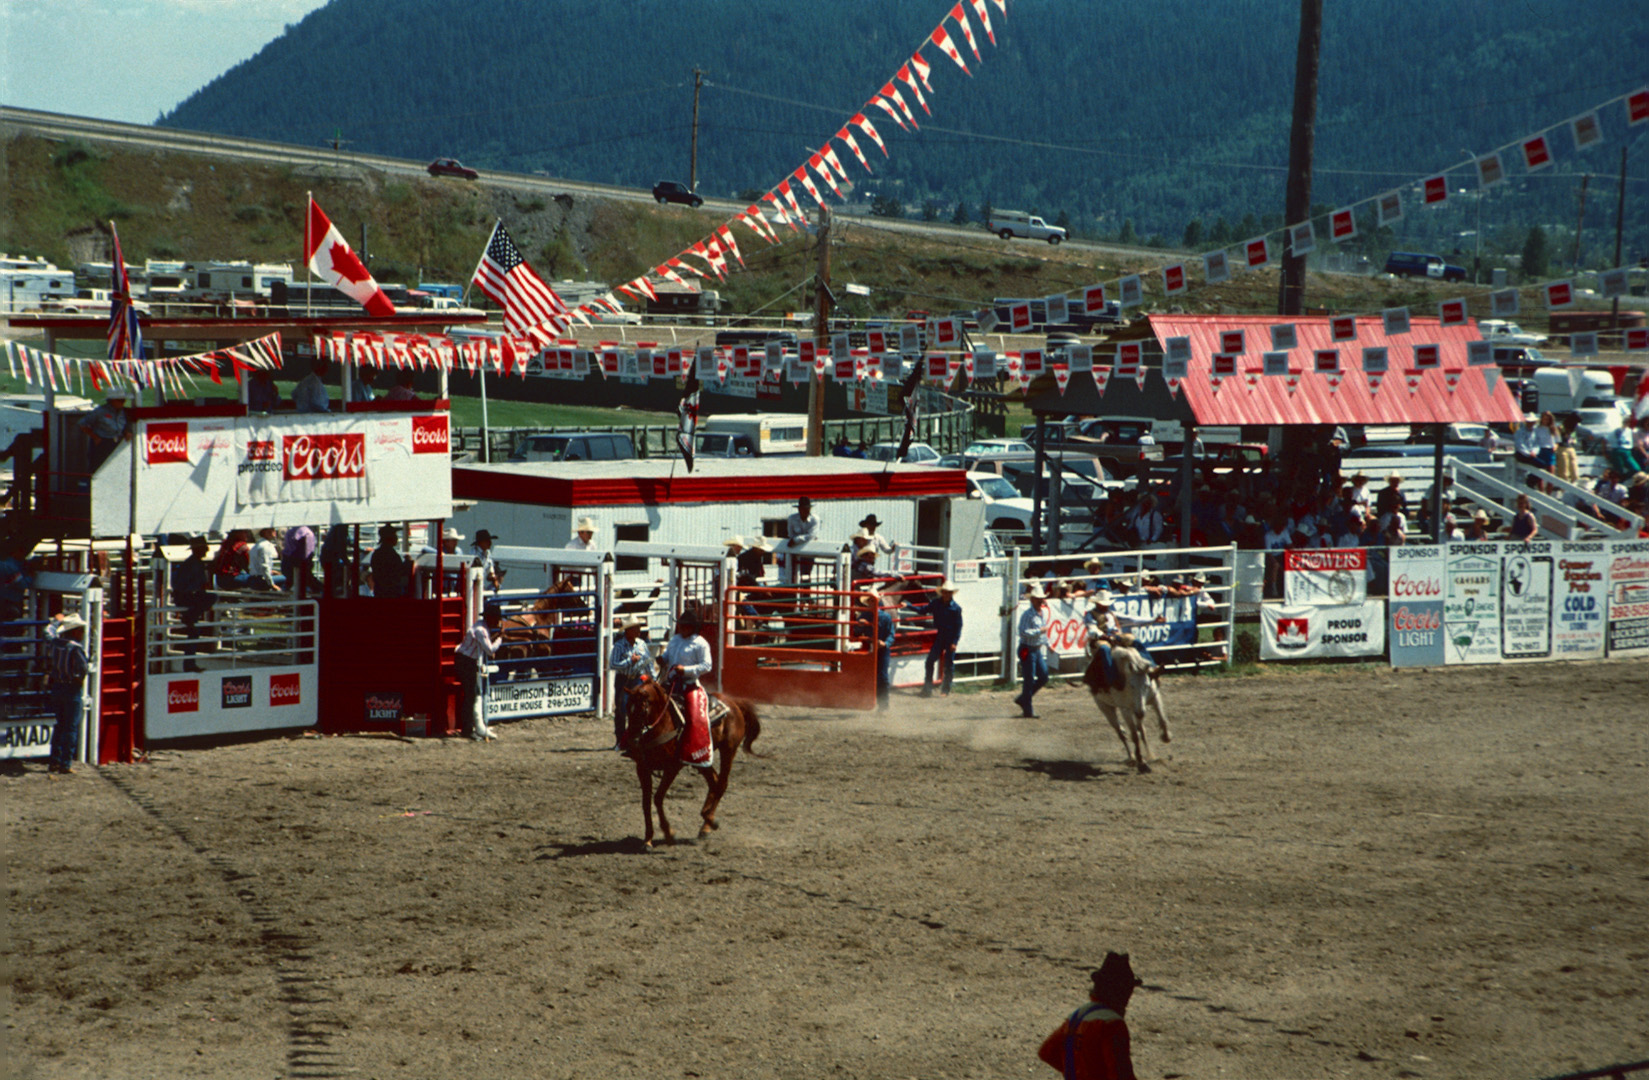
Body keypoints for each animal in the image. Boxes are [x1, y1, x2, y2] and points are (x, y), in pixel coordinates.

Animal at [623, 679, 765, 850]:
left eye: (642, 710)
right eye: (627, 709)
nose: (632, 741)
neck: (664, 725)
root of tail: (734, 703)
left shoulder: (672, 767)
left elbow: (657, 798)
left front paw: (669, 834)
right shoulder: (642, 768)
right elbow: (646, 803)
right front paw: (648, 840)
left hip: (728, 750)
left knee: (721, 784)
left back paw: (710, 820)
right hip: (702, 759)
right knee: (714, 782)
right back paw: (705, 826)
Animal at [1081, 636, 1174, 771]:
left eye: (1147, 686)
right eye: (1131, 686)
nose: (1140, 713)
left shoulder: (1154, 697)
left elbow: (1162, 719)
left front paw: (1166, 737)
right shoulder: (1125, 709)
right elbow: (1134, 735)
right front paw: (1141, 762)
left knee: (1142, 731)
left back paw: (1149, 755)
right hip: (1105, 707)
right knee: (1121, 733)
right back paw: (1132, 758)